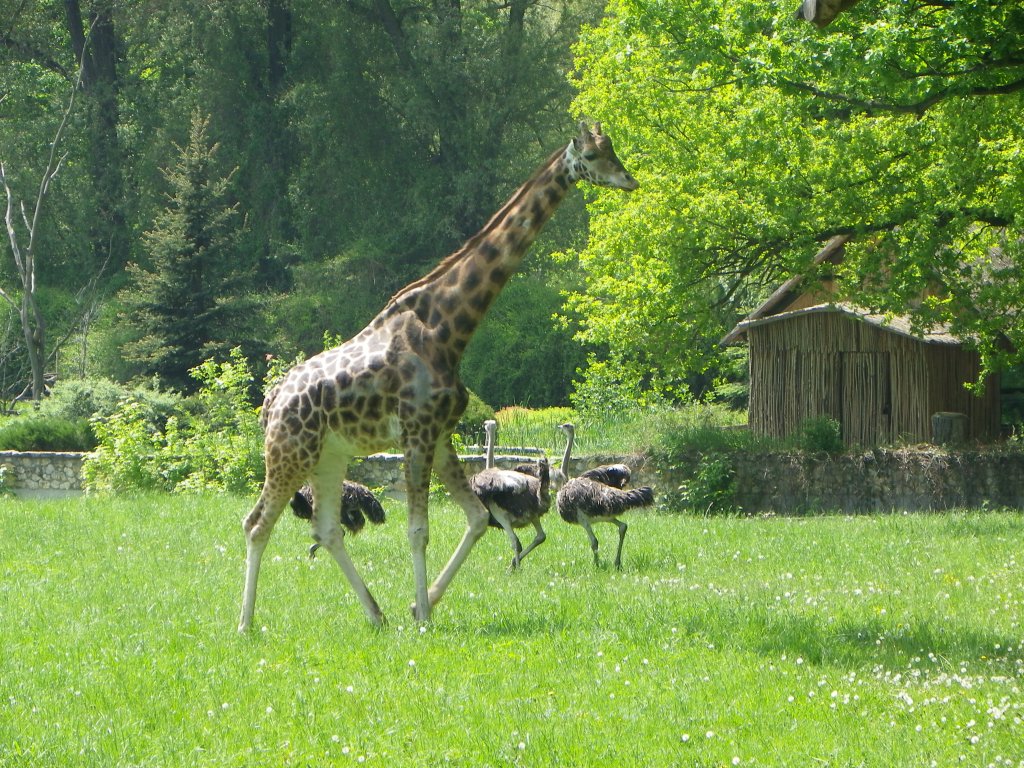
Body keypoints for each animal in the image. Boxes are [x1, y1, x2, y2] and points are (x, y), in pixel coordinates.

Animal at [240, 120, 638, 626]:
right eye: (591, 156)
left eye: (613, 149)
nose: (629, 180)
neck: (448, 328)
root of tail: (270, 402)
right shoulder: (416, 433)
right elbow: (418, 530)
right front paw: (425, 618)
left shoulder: (441, 434)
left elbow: (477, 517)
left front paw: (417, 604)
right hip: (289, 452)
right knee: (256, 523)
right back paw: (246, 625)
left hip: (329, 455)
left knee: (326, 529)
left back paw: (376, 615)